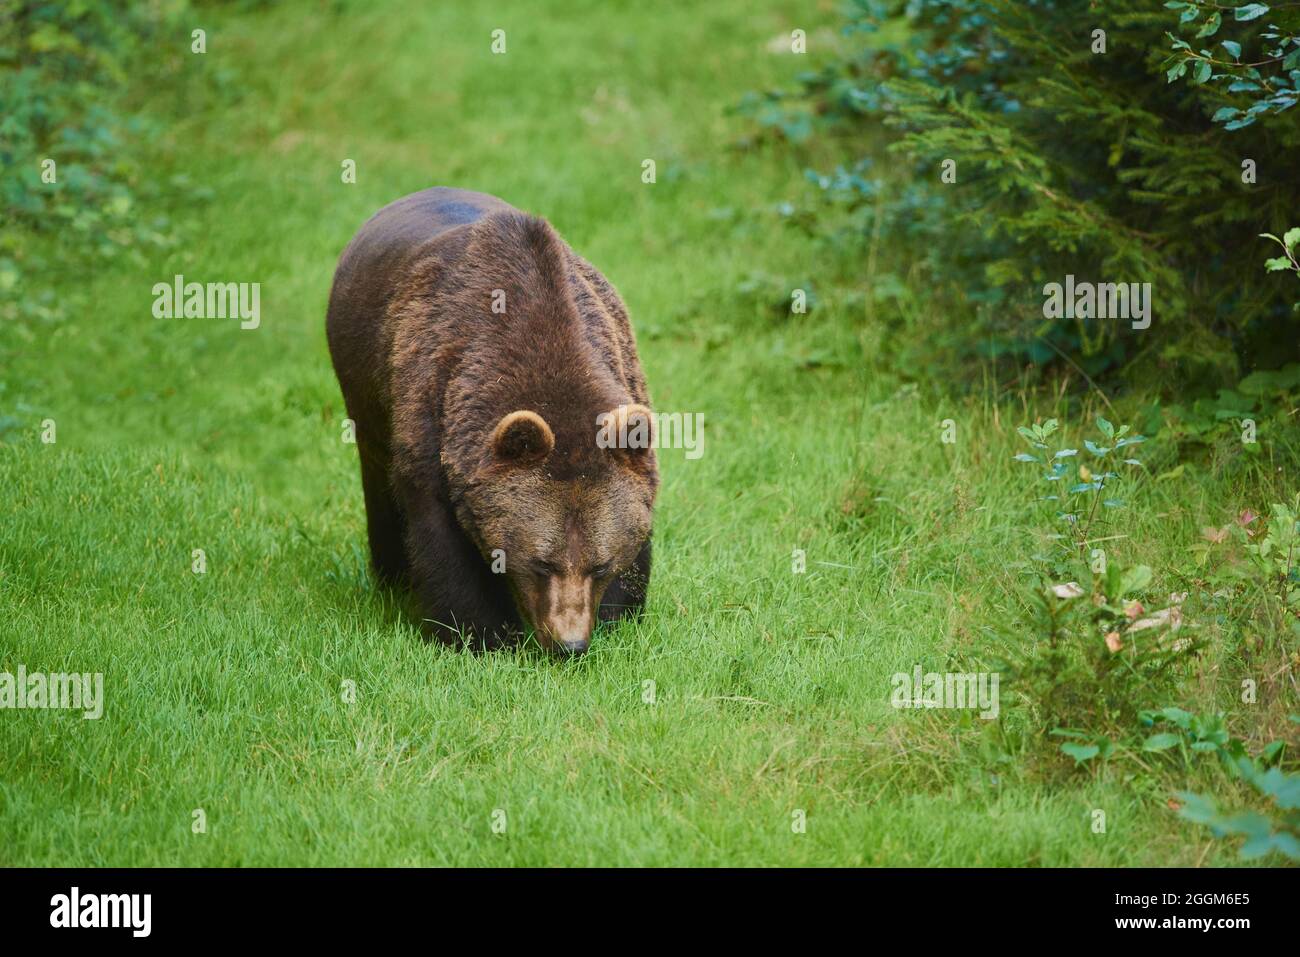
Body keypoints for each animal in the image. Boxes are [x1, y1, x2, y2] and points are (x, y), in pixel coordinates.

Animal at [325, 187, 657, 654]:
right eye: (541, 563)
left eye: (600, 564)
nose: (569, 644)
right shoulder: (436, 407)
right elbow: (444, 543)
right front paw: (480, 633)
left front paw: (616, 614)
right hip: (364, 387)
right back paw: (392, 579)